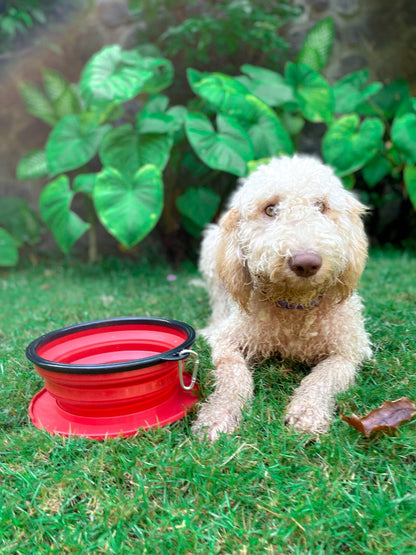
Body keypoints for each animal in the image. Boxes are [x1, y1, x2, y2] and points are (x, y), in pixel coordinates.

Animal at [193, 154, 372, 440]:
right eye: (270, 209)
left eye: (321, 206)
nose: (306, 263)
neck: (295, 306)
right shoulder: (227, 342)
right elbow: (233, 374)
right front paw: (218, 414)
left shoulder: (349, 351)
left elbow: (323, 378)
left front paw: (307, 411)